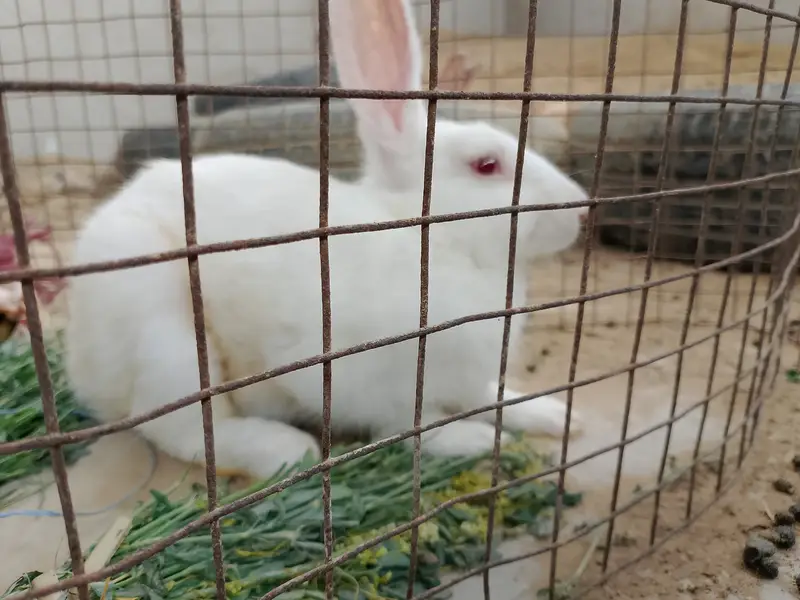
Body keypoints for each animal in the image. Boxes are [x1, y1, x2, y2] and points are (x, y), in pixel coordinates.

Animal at [65, 0, 590, 481]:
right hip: (164, 334)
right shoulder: (363, 378)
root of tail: (82, 367)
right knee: (182, 429)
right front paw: (472, 439)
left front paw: (553, 413)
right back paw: (284, 449)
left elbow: (488, 395)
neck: (435, 243)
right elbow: (410, 424)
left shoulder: (466, 377)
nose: (581, 207)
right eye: (486, 165)